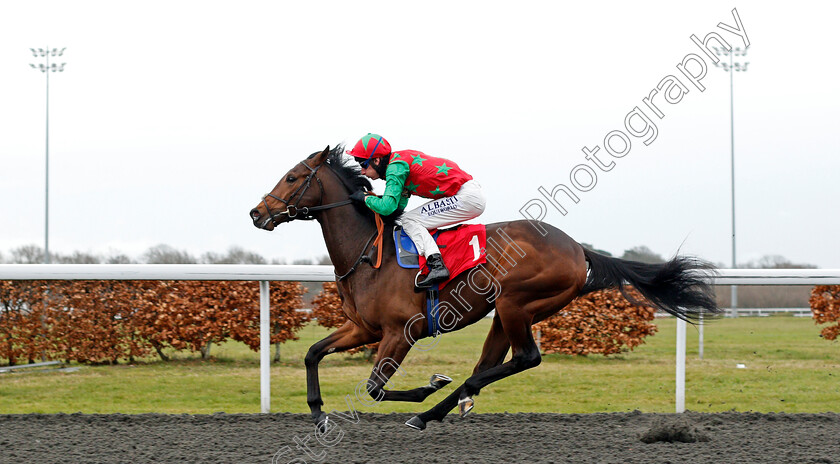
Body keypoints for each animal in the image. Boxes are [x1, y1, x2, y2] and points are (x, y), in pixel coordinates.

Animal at [246, 146, 720, 432]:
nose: (256, 213)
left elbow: (375, 388)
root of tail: (577, 248)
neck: (368, 254)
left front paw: (426, 386)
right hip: (507, 313)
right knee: (490, 364)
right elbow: (313, 353)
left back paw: (432, 406)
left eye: (292, 177)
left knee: (525, 358)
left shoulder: (400, 332)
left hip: (515, 302)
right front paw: (319, 415)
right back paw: (439, 410)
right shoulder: (364, 329)